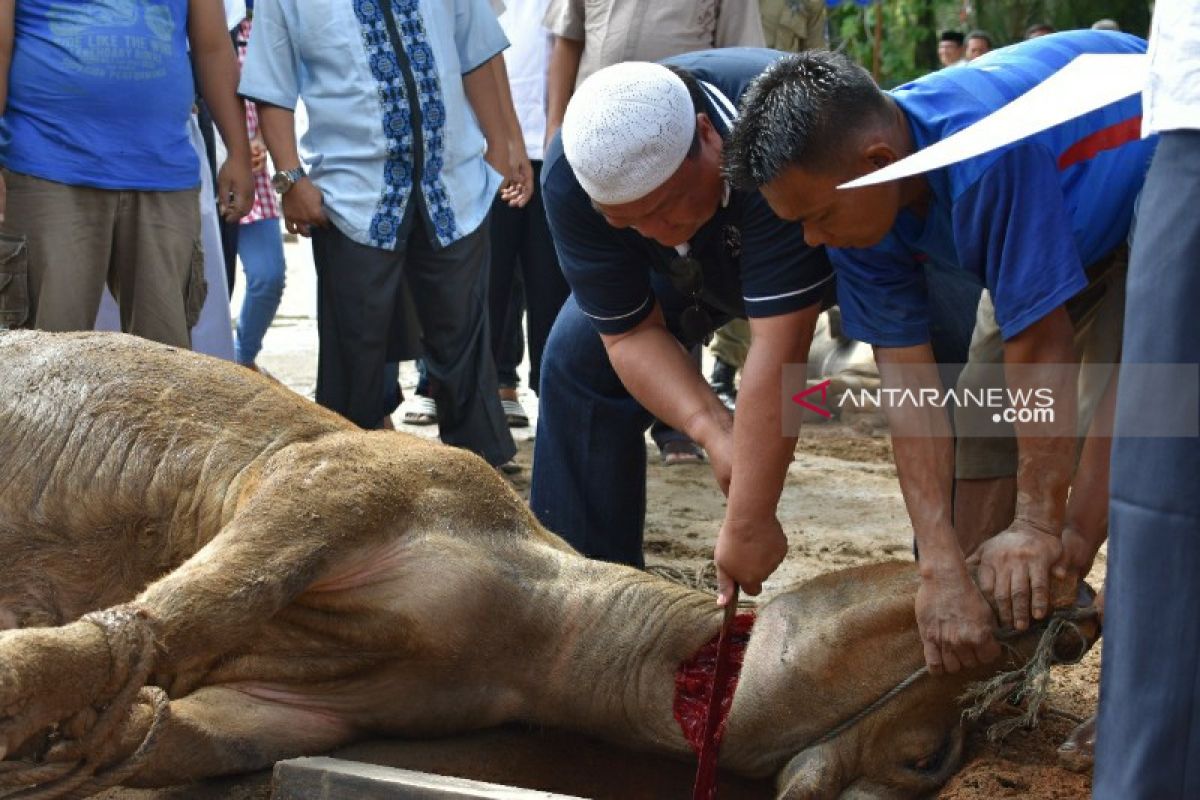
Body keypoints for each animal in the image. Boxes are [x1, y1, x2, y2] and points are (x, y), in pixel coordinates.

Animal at [0, 331, 1094, 800]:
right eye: (928, 754)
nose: (1078, 602)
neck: (538, 624)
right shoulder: (347, 478)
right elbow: (184, 612)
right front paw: (25, 692)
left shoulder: (303, 714)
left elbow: (173, 727)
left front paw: (70, 741)